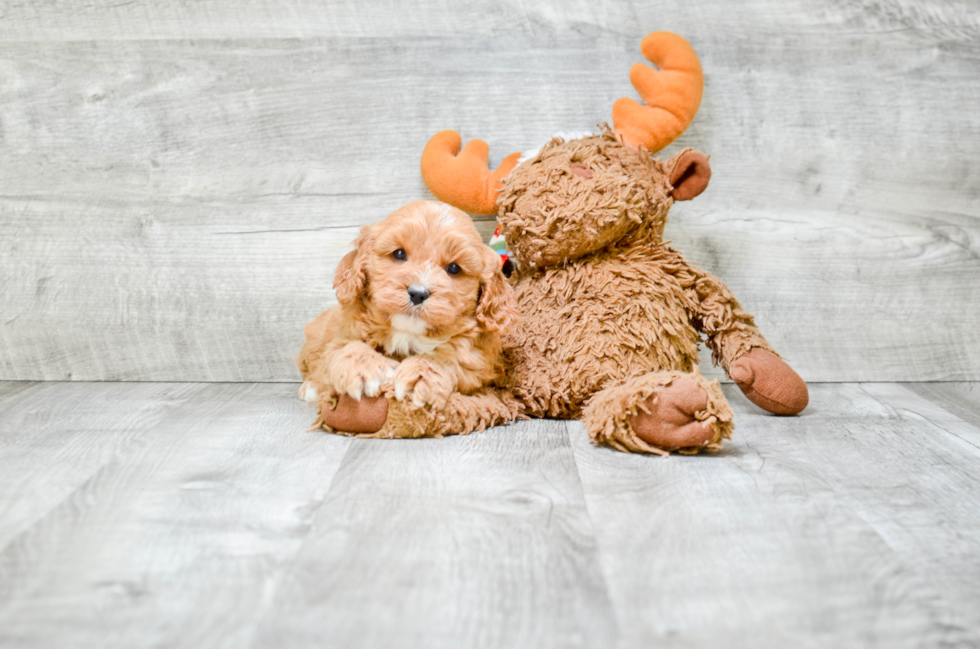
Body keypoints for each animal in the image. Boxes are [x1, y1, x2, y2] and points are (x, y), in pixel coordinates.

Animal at [294, 200, 516, 428]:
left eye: (454, 268)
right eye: (399, 254)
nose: (418, 293)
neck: (407, 334)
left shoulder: (479, 364)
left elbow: (451, 359)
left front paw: (420, 376)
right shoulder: (342, 333)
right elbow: (343, 347)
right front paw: (365, 368)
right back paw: (309, 388)